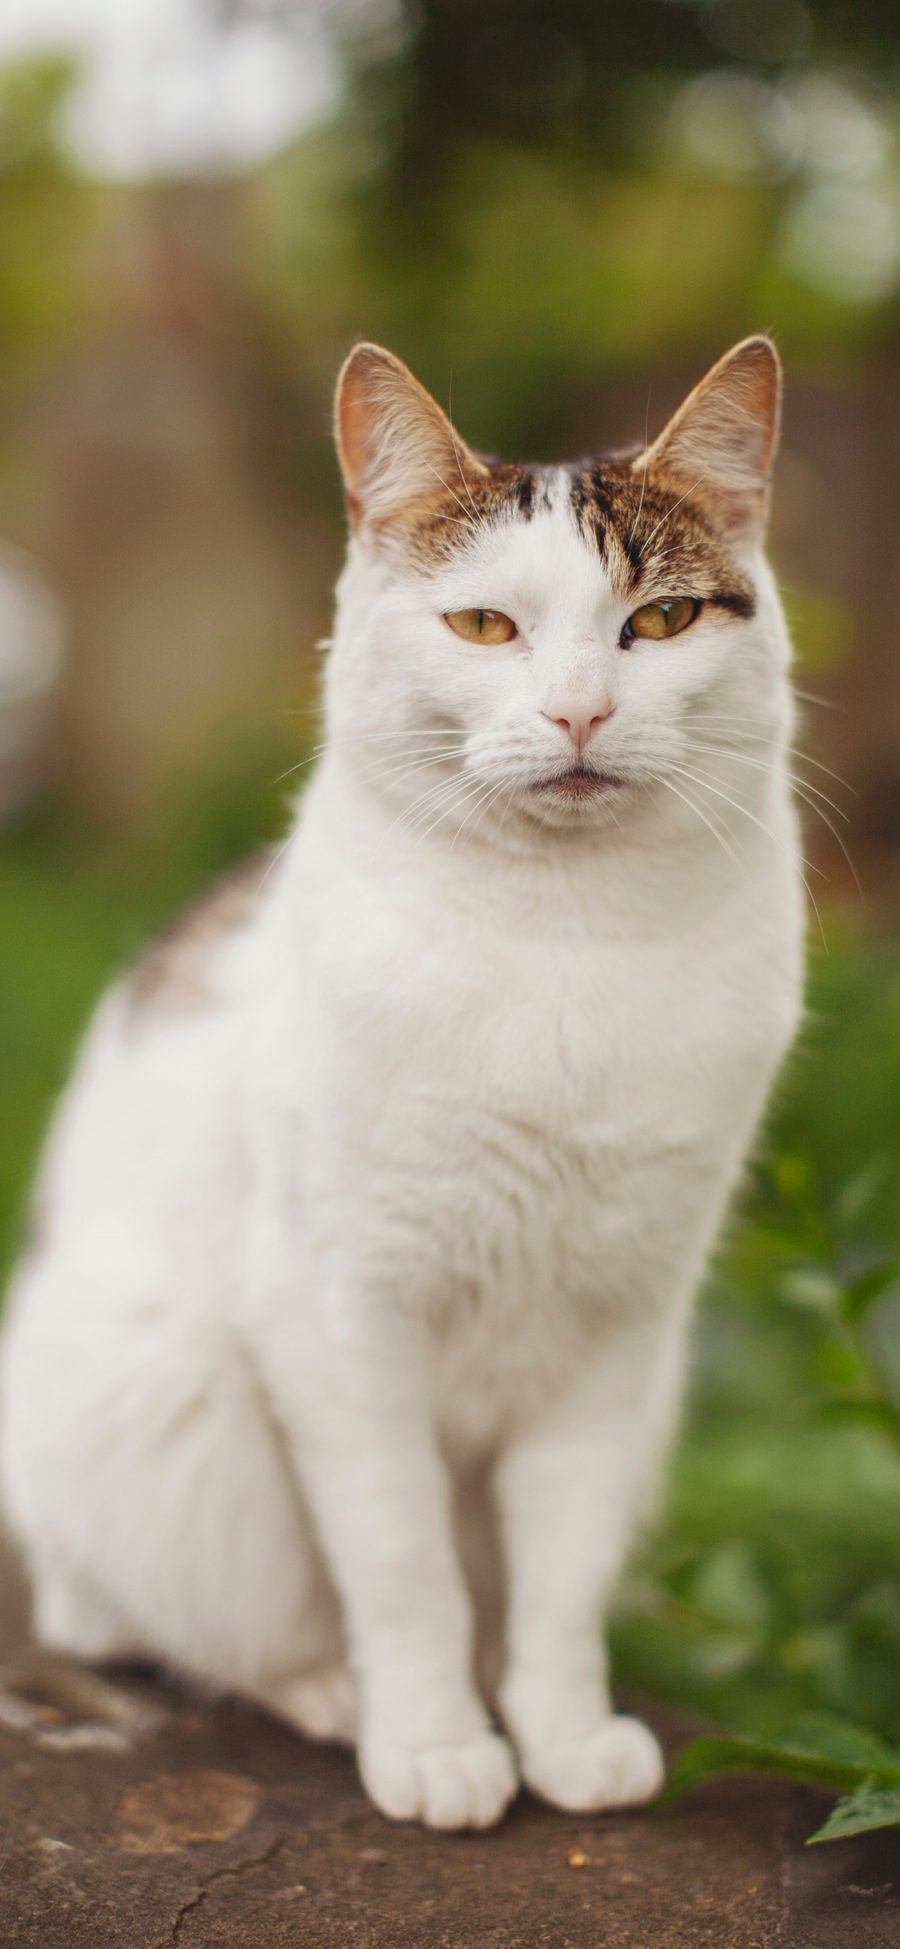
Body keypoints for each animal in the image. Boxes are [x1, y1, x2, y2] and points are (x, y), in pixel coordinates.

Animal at [0, 339, 802, 1824]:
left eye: (658, 623)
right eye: (485, 627)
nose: (579, 710)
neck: (567, 940)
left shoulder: (618, 1335)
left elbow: (561, 1575)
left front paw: (561, 1730)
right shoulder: (341, 1318)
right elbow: (403, 1564)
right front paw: (431, 1742)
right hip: (163, 1403)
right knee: (150, 1624)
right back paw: (333, 1693)